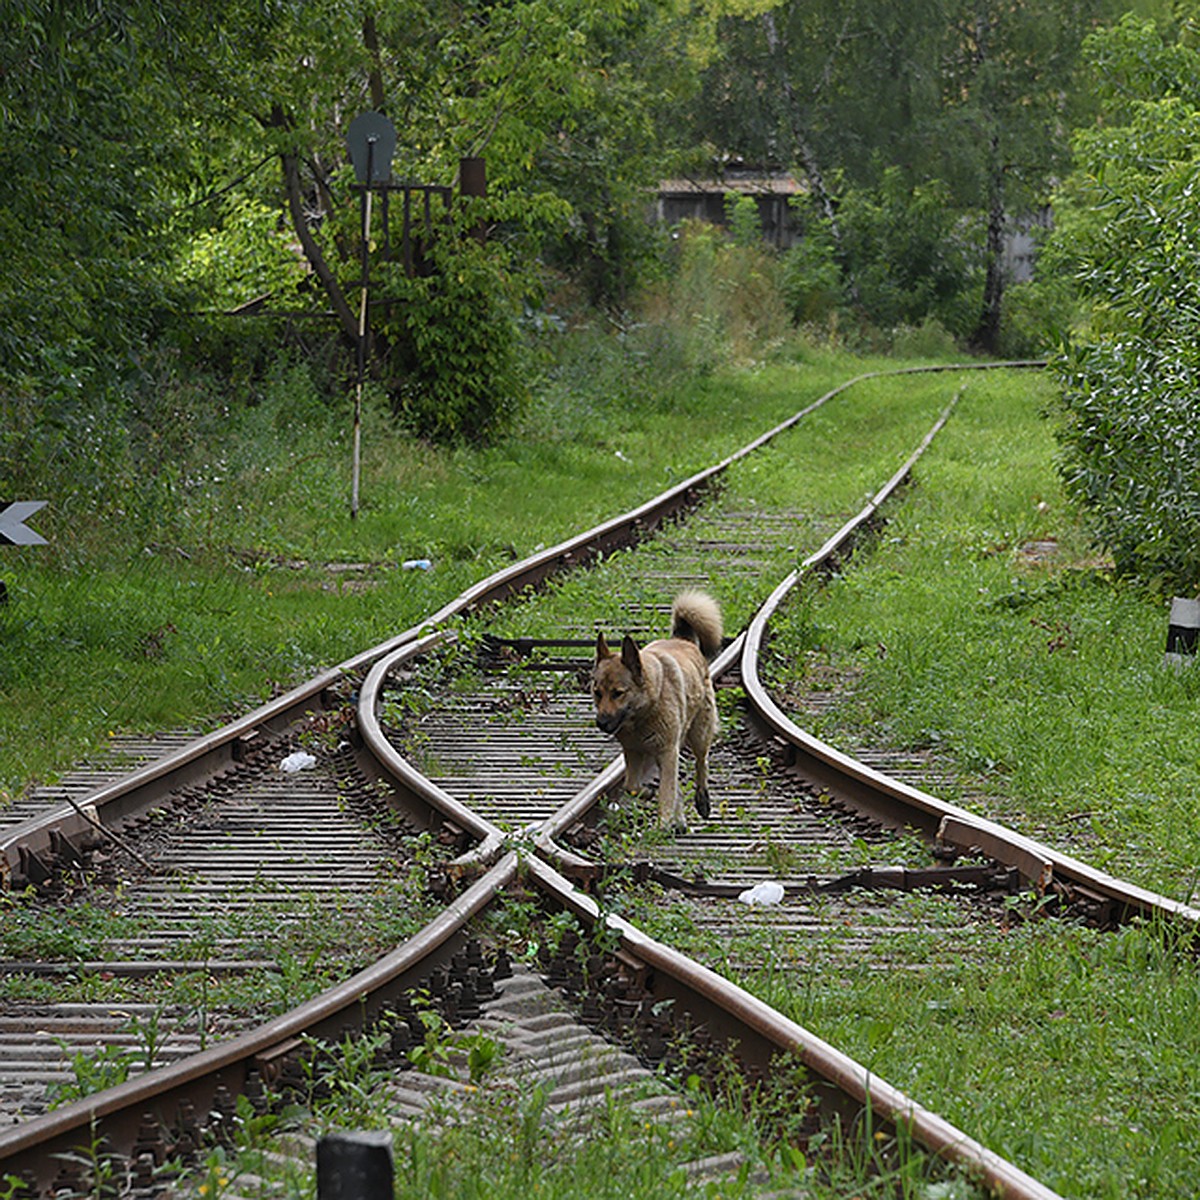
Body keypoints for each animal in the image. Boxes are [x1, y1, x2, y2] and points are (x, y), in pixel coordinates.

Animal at [590, 590, 720, 835]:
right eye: (597, 693)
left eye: (618, 693)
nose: (601, 723)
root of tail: (683, 640)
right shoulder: (634, 752)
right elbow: (632, 786)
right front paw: (649, 794)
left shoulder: (668, 751)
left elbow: (667, 790)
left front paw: (663, 822)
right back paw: (679, 821)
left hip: (699, 733)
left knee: (702, 762)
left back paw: (702, 800)